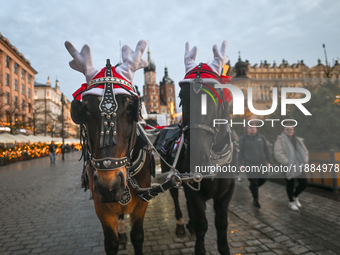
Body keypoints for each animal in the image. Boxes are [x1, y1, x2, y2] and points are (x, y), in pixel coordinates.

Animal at [65, 40, 153, 254]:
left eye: (130, 107)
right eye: (84, 109)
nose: (109, 185)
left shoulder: (142, 203)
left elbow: (138, 236)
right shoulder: (101, 206)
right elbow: (110, 242)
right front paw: (118, 238)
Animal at [158, 40, 235, 254]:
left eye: (217, 95)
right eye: (181, 96)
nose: (197, 156)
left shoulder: (226, 193)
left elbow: (221, 224)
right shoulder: (196, 194)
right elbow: (202, 224)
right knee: (177, 198)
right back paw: (181, 225)